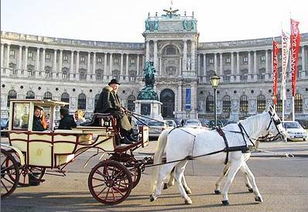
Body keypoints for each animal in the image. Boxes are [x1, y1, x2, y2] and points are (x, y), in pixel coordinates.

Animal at [151, 107, 286, 205]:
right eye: (278, 121)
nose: (285, 135)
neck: (241, 134)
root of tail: (171, 130)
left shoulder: (239, 161)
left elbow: (250, 176)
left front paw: (257, 195)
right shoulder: (237, 162)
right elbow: (230, 178)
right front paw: (225, 197)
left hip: (182, 160)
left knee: (178, 175)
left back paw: (186, 197)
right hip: (174, 159)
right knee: (163, 173)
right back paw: (155, 194)